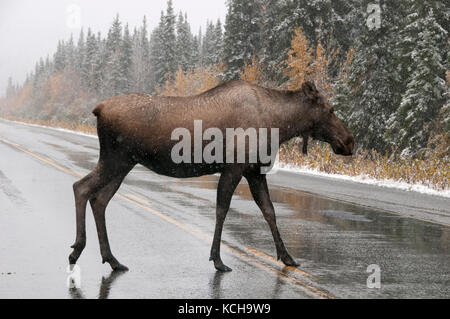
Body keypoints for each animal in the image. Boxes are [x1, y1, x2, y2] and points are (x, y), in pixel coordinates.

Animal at [67, 80, 356, 272]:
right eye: (330, 109)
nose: (350, 141)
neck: (279, 125)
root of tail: (98, 109)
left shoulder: (254, 171)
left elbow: (269, 211)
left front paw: (287, 257)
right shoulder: (235, 167)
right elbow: (222, 209)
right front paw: (218, 260)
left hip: (123, 163)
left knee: (99, 199)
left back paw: (112, 259)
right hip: (115, 159)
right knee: (81, 187)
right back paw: (77, 250)